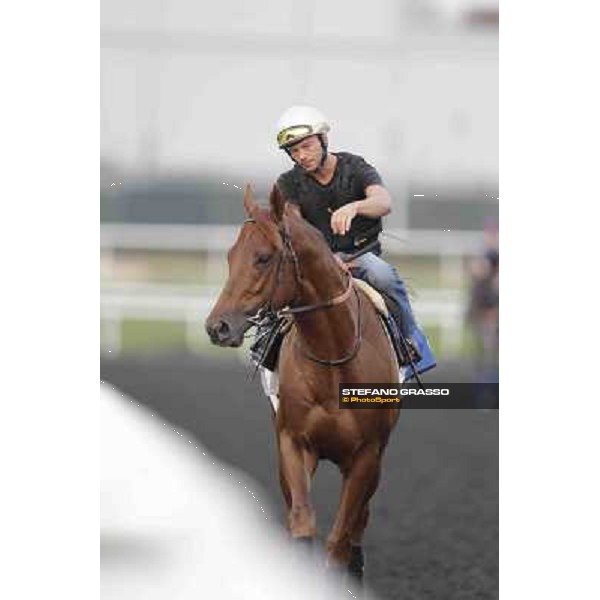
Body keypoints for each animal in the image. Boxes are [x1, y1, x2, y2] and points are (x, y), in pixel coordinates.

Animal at [204, 186, 400, 580]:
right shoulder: (292, 443)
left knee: (359, 524)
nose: (217, 326)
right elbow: (302, 524)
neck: (334, 357)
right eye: (231, 255)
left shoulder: (367, 455)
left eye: (263, 258)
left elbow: (340, 540)